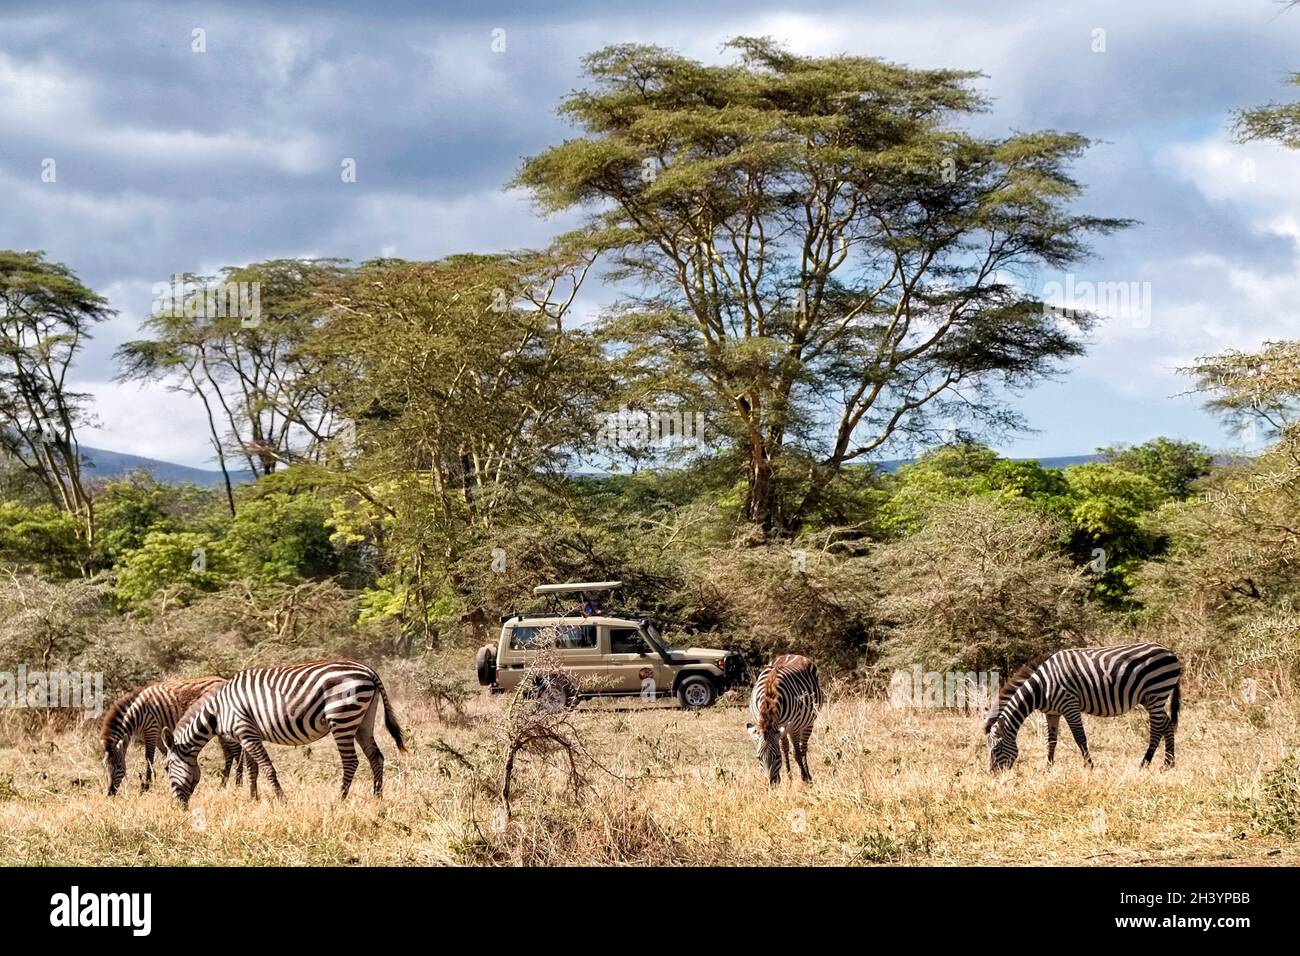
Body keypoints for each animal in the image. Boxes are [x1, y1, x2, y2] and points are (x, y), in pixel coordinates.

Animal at [100, 676, 244, 796]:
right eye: (104, 767)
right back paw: (222, 785)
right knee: (229, 754)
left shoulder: (151, 730)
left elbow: (148, 759)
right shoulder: (159, 737)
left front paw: (146, 787)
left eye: (119, 766)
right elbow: (167, 756)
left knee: (237, 752)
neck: (136, 714)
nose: (110, 793)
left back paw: (238, 784)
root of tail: (225, 680)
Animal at [162, 660, 405, 806]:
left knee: (351, 762)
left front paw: (281, 800)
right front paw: (253, 799)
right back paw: (377, 798)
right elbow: (253, 770)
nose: (177, 807)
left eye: (166, 768)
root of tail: (368, 670)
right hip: (363, 720)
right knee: (376, 756)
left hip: (342, 717)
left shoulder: (245, 731)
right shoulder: (247, 735)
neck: (218, 711)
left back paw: (340, 800)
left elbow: (267, 768)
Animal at [987, 642, 1185, 770]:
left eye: (995, 749)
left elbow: (1080, 738)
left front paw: (1089, 766)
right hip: (1150, 697)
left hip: (1156, 692)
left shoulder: (1069, 705)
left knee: (1157, 728)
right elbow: (1051, 740)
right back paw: (1168, 764)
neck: (1041, 688)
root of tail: (1170, 652)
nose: (994, 774)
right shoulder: (1051, 712)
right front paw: (1048, 768)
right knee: (1167, 724)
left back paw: (1145, 764)